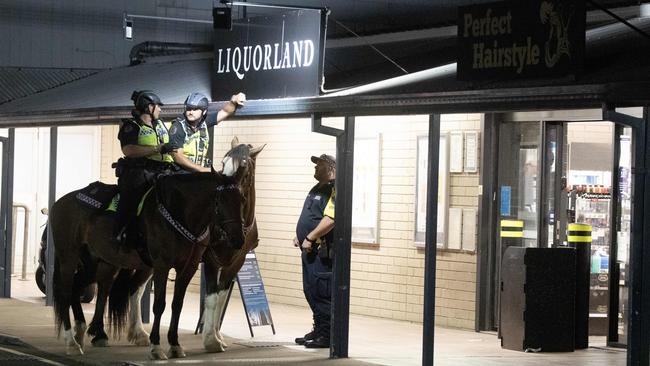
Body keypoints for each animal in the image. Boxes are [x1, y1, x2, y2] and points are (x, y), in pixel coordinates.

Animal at [50, 171, 243, 358]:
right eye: (219, 201)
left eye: (241, 199)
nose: (238, 239)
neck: (180, 212)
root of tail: (59, 202)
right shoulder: (162, 266)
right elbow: (159, 305)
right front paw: (156, 346)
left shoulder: (188, 268)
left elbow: (177, 305)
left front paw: (175, 345)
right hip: (69, 257)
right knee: (66, 293)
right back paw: (72, 343)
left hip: (96, 263)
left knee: (77, 288)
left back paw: (81, 332)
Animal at [201, 138, 264, 352]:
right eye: (223, 163)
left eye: (243, 167)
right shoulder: (211, 259)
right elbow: (211, 298)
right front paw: (210, 340)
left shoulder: (236, 261)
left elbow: (221, 297)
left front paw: (216, 336)